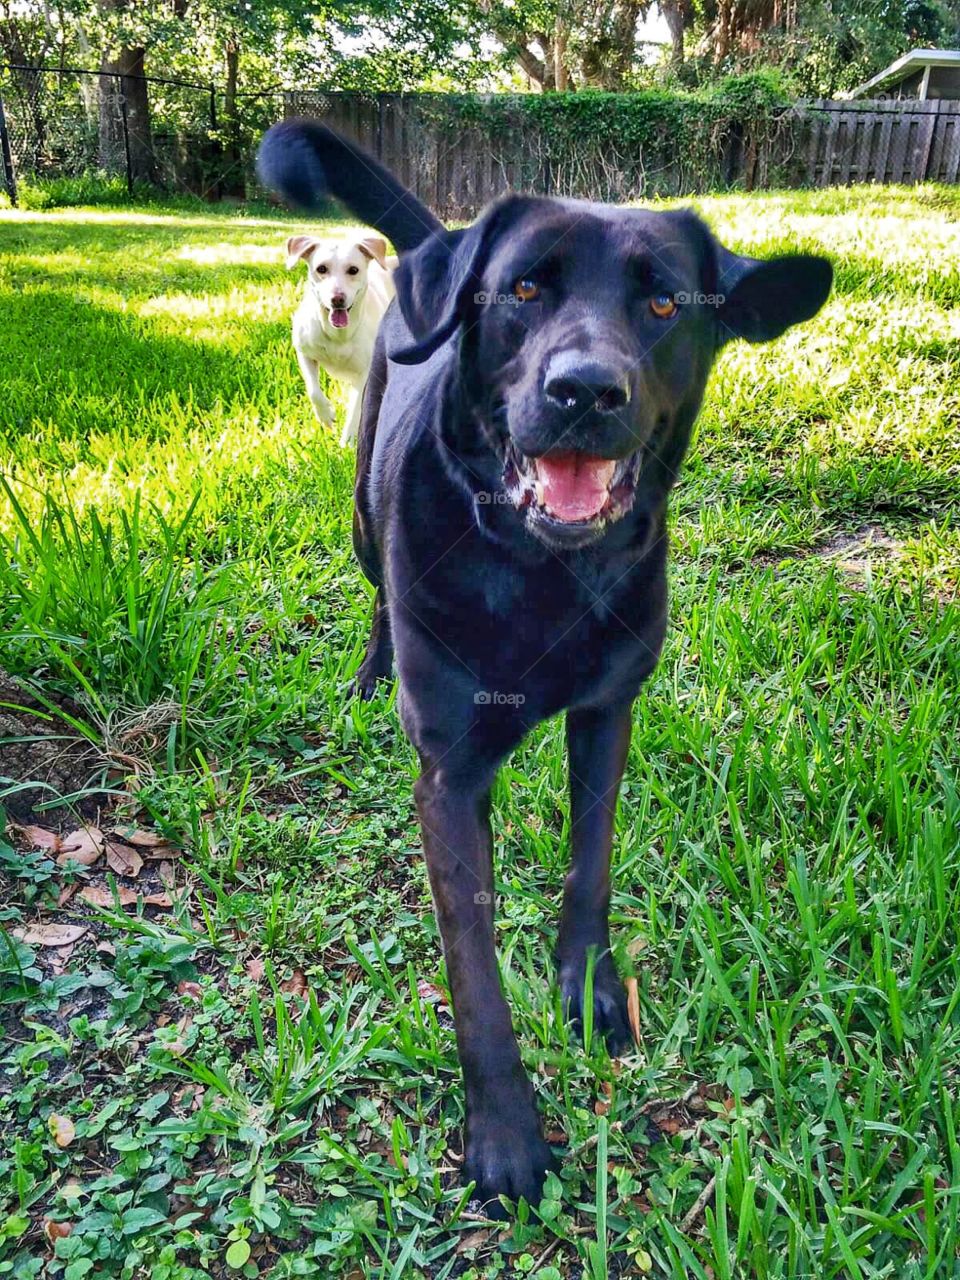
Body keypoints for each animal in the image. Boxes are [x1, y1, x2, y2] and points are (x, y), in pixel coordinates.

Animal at [285, 232, 394, 448]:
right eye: (321, 268)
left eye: (353, 270)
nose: (337, 299)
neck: (339, 334)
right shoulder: (304, 352)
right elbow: (313, 390)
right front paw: (326, 415)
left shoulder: (364, 372)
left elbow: (356, 407)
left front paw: (349, 440)